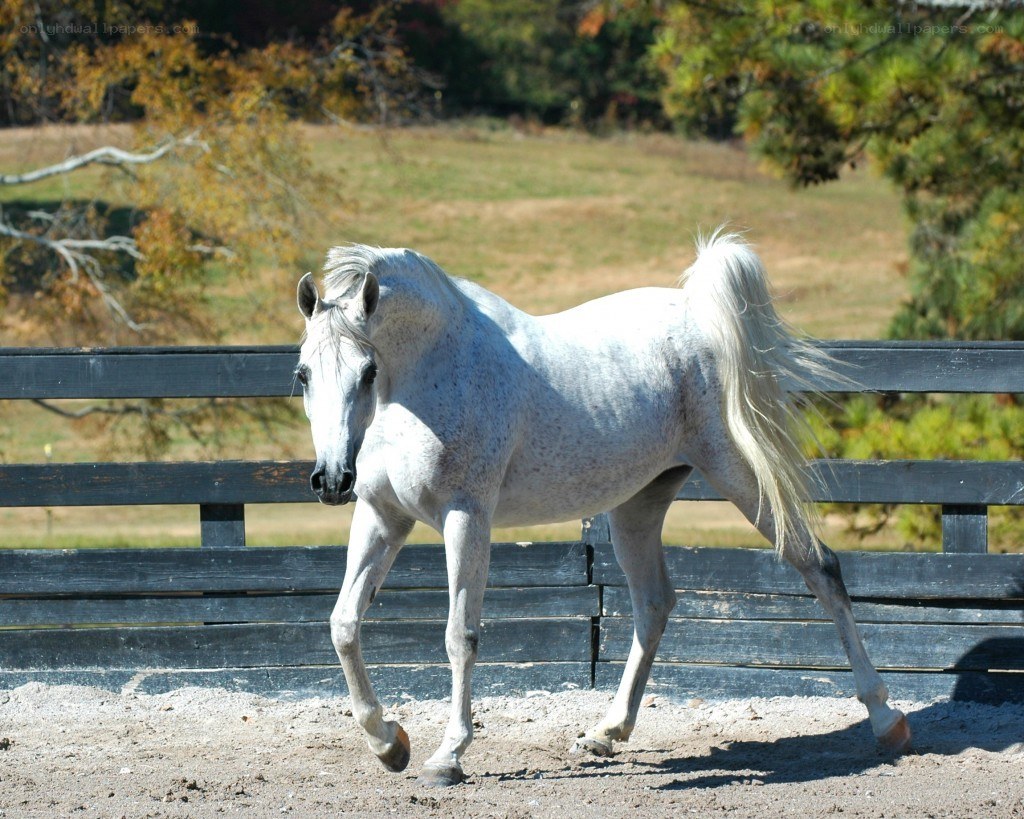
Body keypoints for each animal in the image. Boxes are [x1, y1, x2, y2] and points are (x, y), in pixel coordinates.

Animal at [294, 232, 912, 787]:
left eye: (368, 371)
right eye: (302, 374)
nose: (331, 479)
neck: (428, 374)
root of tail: (700, 318)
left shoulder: (466, 518)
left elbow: (459, 636)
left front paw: (447, 757)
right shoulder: (382, 515)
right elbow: (343, 624)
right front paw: (388, 744)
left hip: (741, 475)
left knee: (819, 565)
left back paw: (887, 719)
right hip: (638, 505)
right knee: (654, 604)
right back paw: (607, 732)